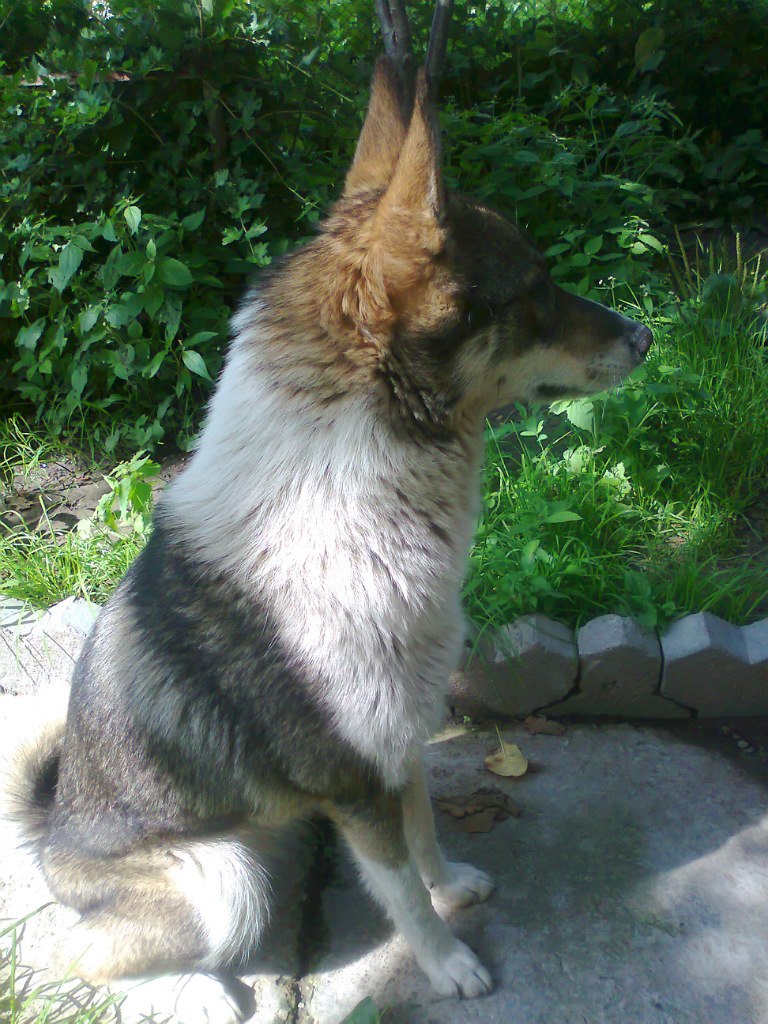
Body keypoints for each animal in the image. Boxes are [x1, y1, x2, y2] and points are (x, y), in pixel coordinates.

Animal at [3, 1, 652, 1020]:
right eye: (535, 290)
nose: (648, 336)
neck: (352, 485)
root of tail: (52, 841)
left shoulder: (400, 740)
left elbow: (425, 836)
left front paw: (453, 884)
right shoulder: (354, 782)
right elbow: (398, 890)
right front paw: (446, 963)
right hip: (223, 879)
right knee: (87, 955)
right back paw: (204, 992)